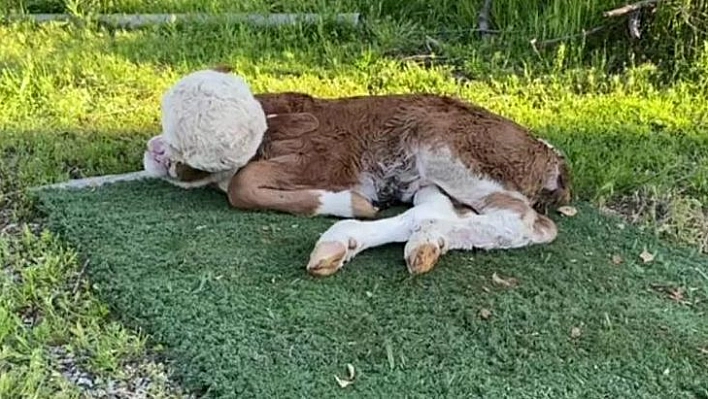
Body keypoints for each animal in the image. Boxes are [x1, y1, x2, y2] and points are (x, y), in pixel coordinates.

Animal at [144, 69, 568, 276]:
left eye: (190, 149)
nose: (154, 150)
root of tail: (549, 157)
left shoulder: (324, 159)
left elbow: (242, 186)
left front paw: (352, 202)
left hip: (448, 148)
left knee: (525, 223)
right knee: (438, 210)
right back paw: (407, 243)